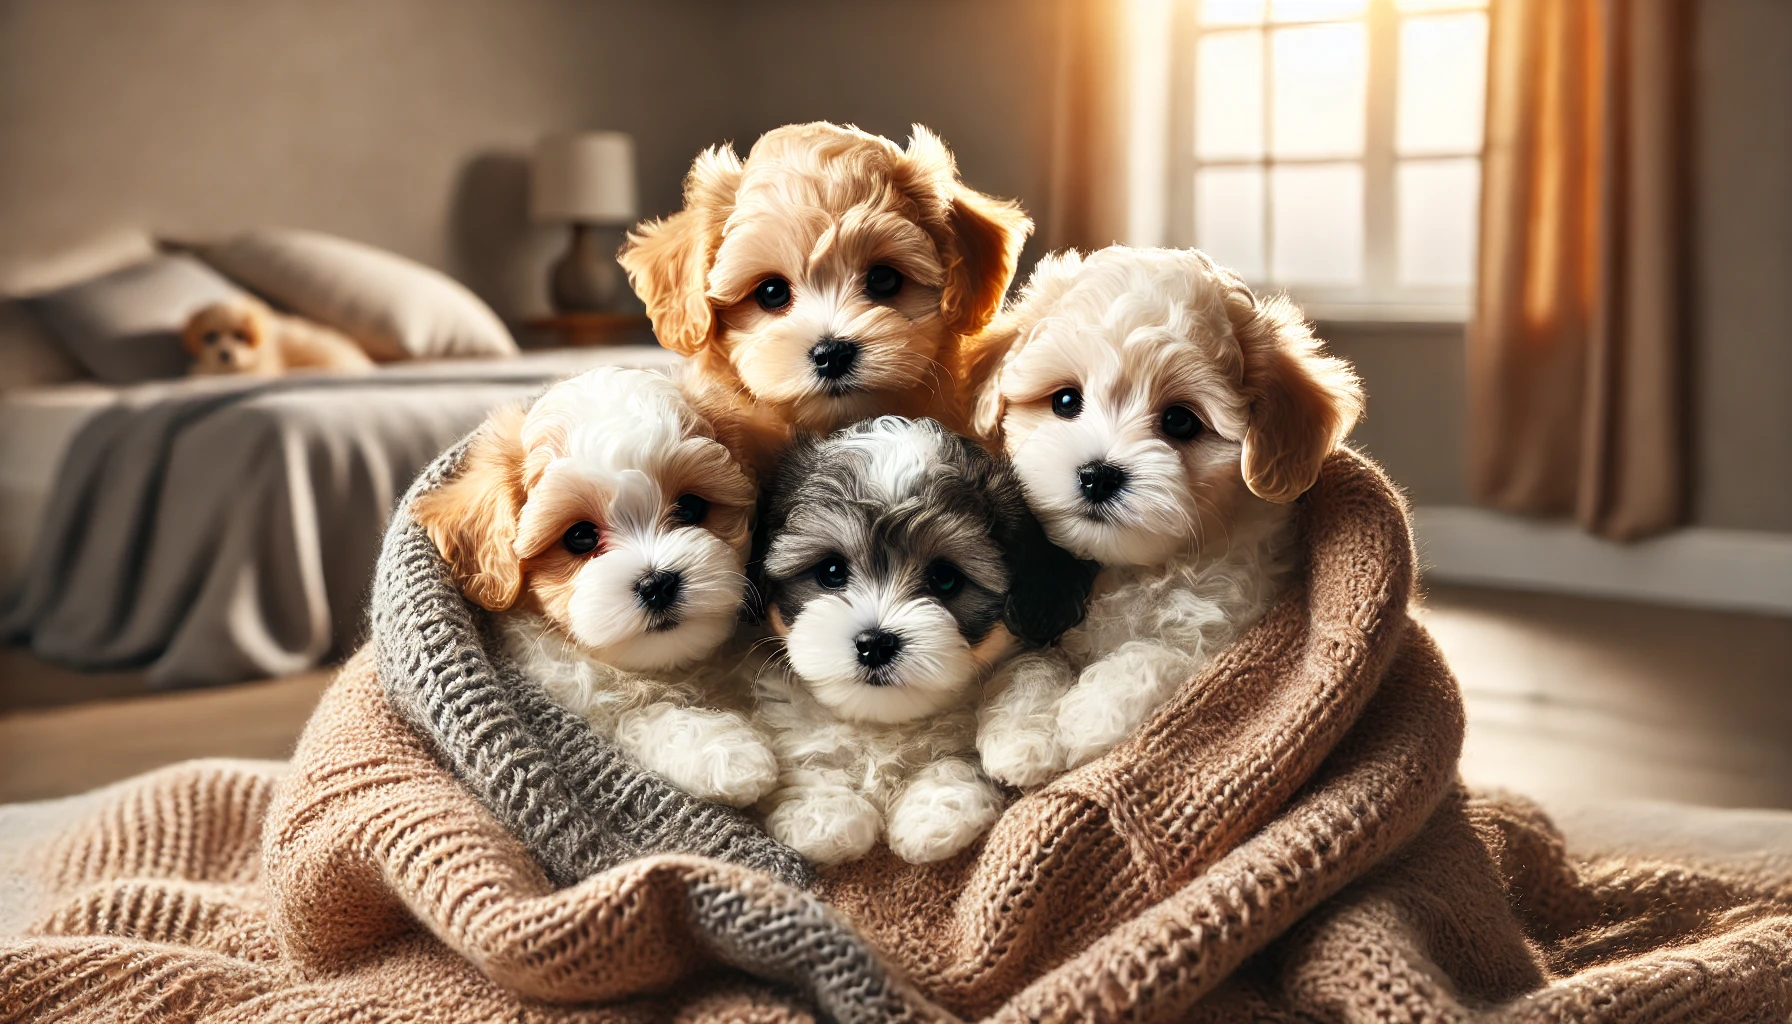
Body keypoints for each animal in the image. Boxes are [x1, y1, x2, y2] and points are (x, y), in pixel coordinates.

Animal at [745, 416, 1089, 864]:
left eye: (945, 579)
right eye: (831, 571)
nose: (875, 643)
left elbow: (1027, 675)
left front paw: (939, 808)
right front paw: (824, 814)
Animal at [974, 245, 1361, 785]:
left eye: (1180, 421)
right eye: (1066, 400)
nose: (1098, 475)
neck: (1130, 566)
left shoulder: (1225, 625)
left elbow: (1159, 655)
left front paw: (1089, 717)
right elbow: (1030, 662)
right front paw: (1021, 738)